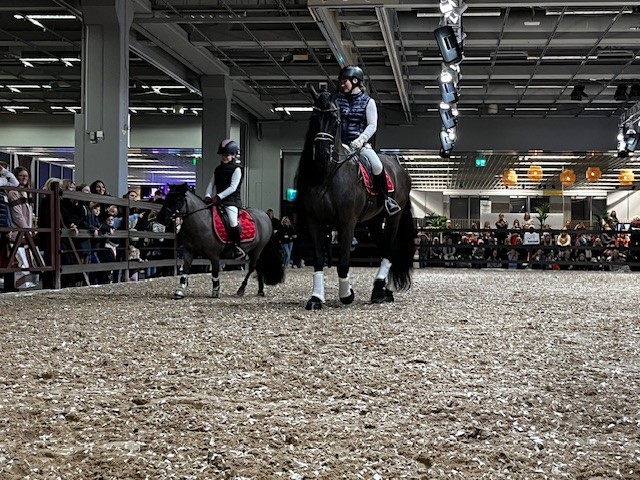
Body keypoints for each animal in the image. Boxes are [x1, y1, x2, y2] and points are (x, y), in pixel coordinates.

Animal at [156, 183, 285, 299]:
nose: (160, 218)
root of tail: (265, 216)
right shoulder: (188, 252)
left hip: (258, 248)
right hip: (254, 250)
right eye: (167, 198)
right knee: (259, 267)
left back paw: (241, 290)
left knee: (253, 267)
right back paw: (260, 291)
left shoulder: (214, 255)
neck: (202, 222)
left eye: (178, 199)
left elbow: (215, 272)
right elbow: (186, 269)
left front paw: (216, 291)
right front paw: (180, 291)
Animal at [295, 85, 415, 310]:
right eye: (314, 117)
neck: (328, 175)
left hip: (393, 217)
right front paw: (316, 298)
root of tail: (400, 168)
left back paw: (383, 291)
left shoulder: (347, 222)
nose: (322, 154)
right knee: (385, 248)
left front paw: (346, 295)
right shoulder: (314, 221)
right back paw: (381, 290)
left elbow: (343, 262)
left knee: (390, 249)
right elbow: (318, 259)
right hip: (374, 222)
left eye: (335, 119)